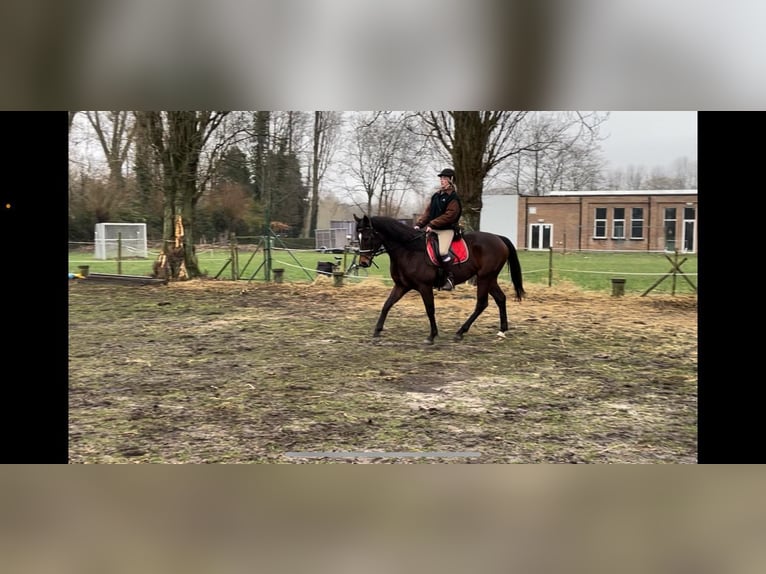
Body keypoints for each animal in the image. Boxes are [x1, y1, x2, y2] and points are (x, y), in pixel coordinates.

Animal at [356, 214, 524, 344]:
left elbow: (430, 309)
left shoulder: (424, 286)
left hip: (484, 277)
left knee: (481, 304)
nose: (363, 263)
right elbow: (386, 305)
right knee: (500, 298)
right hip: (490, 278)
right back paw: (502, 331)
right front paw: (376, 332)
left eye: (368, 237)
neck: (409, 250)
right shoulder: (401, 286)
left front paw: (432, 336)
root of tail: (498, 238)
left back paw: (460, 332)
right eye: (359, 238)